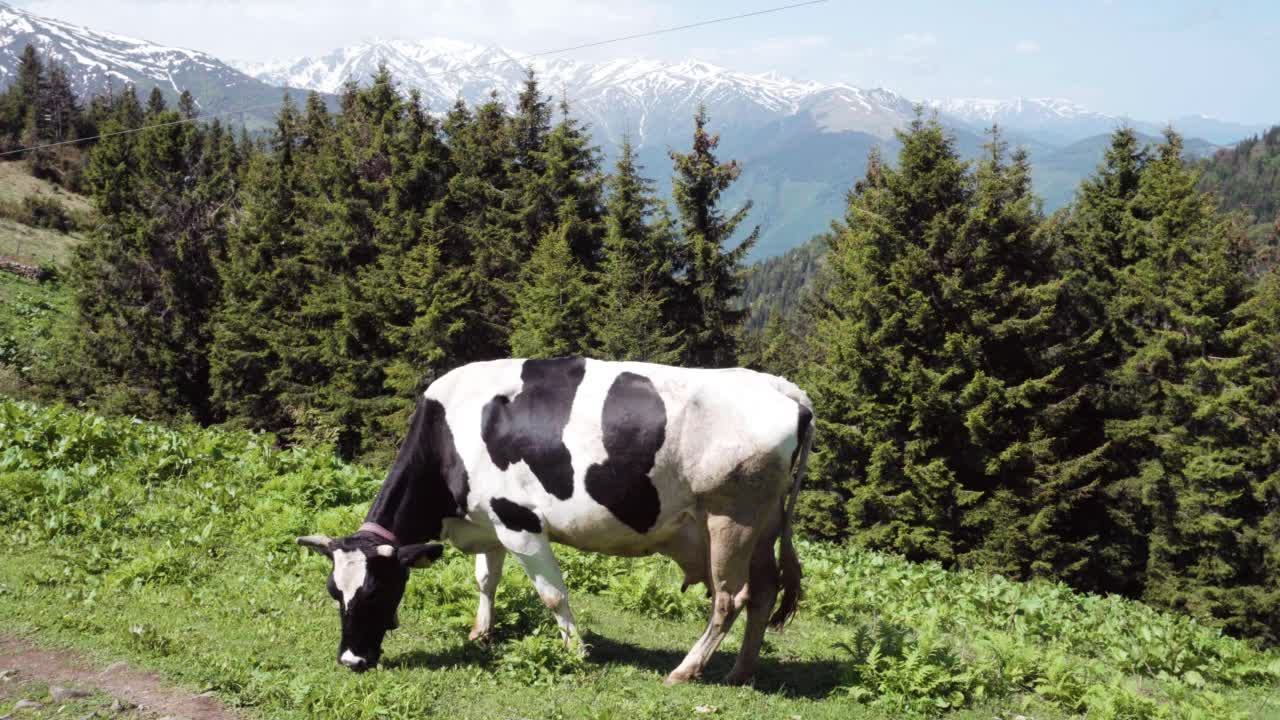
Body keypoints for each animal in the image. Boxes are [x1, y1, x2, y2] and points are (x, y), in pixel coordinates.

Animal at [296, 356, 808, 681]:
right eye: (334, 592)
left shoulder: (519, 522)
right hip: (763, 524)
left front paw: (576, 652)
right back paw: (741, 672)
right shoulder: (489, 522)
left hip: (731, 519)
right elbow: (486, 579)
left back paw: (686, 670)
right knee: (764, 592)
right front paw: (481, 633)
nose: (351, 660)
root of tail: (780, 387)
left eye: (376, 590)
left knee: (729, 598)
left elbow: (553, 595)